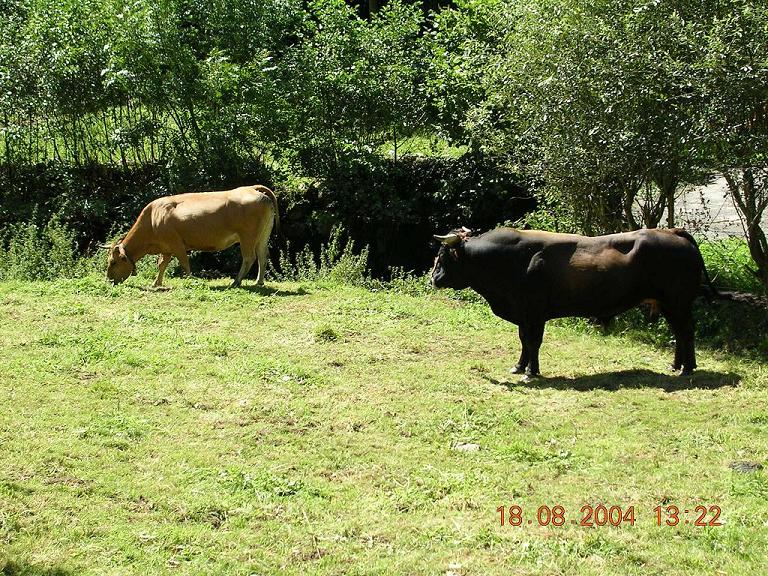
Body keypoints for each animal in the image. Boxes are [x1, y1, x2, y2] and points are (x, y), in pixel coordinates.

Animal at [105, 186, 280, 286]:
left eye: (113, 262)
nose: (108, 280)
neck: (153, 217)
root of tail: (252, 189)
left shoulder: (176, 244)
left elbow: (184, 263)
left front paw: (190, 280)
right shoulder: (166, 248)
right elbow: (162, 265)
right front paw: (156, 283)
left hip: (247, 237)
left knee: (249, 258)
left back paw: (236, 282)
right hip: (262, 237)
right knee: (263, 256)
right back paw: (259, 282)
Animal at [428, 227, 712, 380]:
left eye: (443, 255)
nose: (434, 278)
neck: (512, 260)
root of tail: (673, 232)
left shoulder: (535, 313)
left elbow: (533, 341)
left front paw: (531, 371)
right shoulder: (523, 314)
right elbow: (523, 340)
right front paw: (519, 366)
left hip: (678, 303)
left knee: (686, 331)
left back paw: (687, 368)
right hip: (667, 304)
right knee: (678, 332)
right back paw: (676, 365)